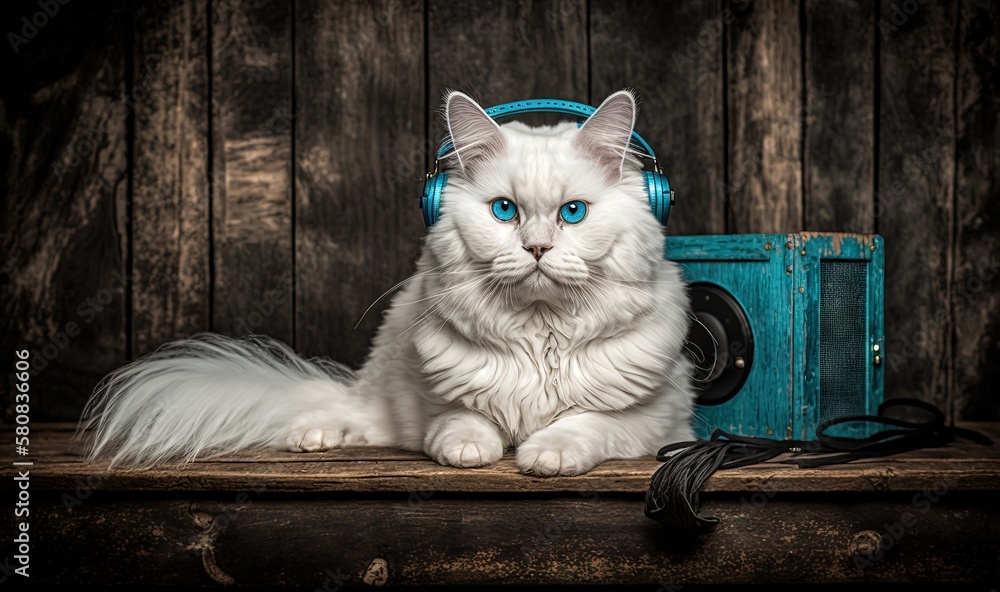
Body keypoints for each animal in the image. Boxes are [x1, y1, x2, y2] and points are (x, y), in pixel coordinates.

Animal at [80, 89, 696, 476]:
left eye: (573, 213)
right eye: (504, 210)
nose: (537, 249)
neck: (540, 334)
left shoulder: (653, 420)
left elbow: (584, 423)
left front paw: (546, 454)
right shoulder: (437, 398)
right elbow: (464, 419)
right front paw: (472, 449)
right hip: (377, 390)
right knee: (351, 417)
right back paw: (314, 436)